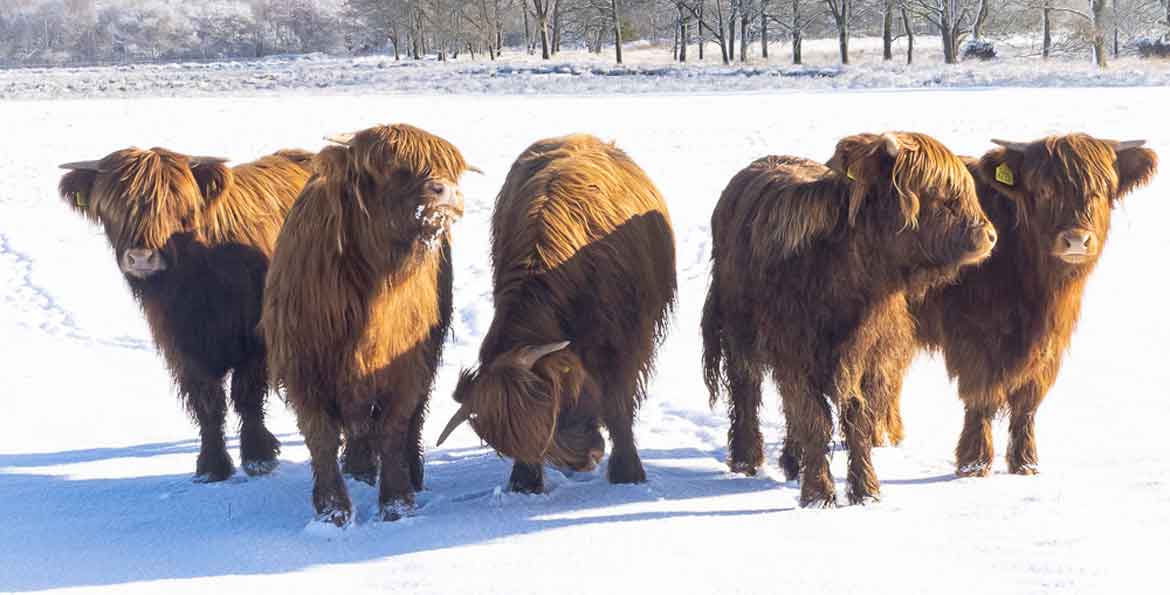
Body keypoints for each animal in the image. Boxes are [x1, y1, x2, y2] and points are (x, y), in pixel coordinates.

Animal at [57, 146, 315, 479]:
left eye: (172, 203)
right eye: (114, 206)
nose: (141, 258)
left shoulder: (255, 342)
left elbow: (247, 395)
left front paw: (258, 456)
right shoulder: (182, 350)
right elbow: (208, 404)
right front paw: (212, 466)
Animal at [437, 134, 678, 490]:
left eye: (557, 402)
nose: (586, 460)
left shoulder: (626, 341)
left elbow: (618, 403)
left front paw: (628, 473)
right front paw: (524, 481)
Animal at [702, 130, 996, 504]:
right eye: (935, 190)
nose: (988, 235)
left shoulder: (869, 356)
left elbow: (858, 418)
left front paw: (866, 490)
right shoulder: (795, 353)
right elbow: (814, 419)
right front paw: (818, 495)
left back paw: (791, 461)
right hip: (737, 332)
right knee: (746, 389)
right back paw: (746, 459)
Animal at [879, 132, 1160, 474]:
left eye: (1103, 187)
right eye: (1044, 190)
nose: (1076, 240)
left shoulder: (1049, 345)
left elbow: (1027, 403)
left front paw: (1025, 463)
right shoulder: (974, 338)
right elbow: (981, 396)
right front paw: (974, 463)